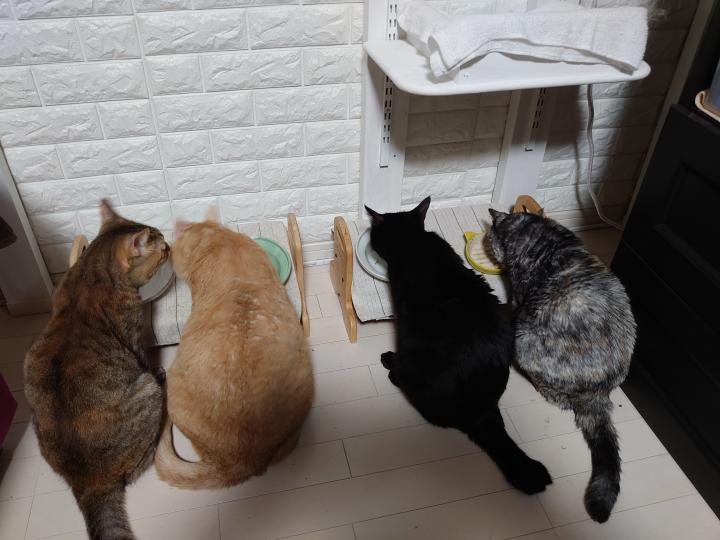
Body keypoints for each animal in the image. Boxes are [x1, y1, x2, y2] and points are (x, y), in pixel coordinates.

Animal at [24, 200, 169, 540]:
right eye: (161, 249)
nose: (170, 246)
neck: (91, 268)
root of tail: (87, 484)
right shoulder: (133, 336)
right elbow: (143, 356)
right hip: (146, 389)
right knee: (137, 468)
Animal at [486, 209, 636, 523]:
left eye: (490, 239)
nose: (490, 247)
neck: (539, 233)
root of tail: (597, 394)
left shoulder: (520, 296)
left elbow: (513, 304)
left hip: (525, 341)